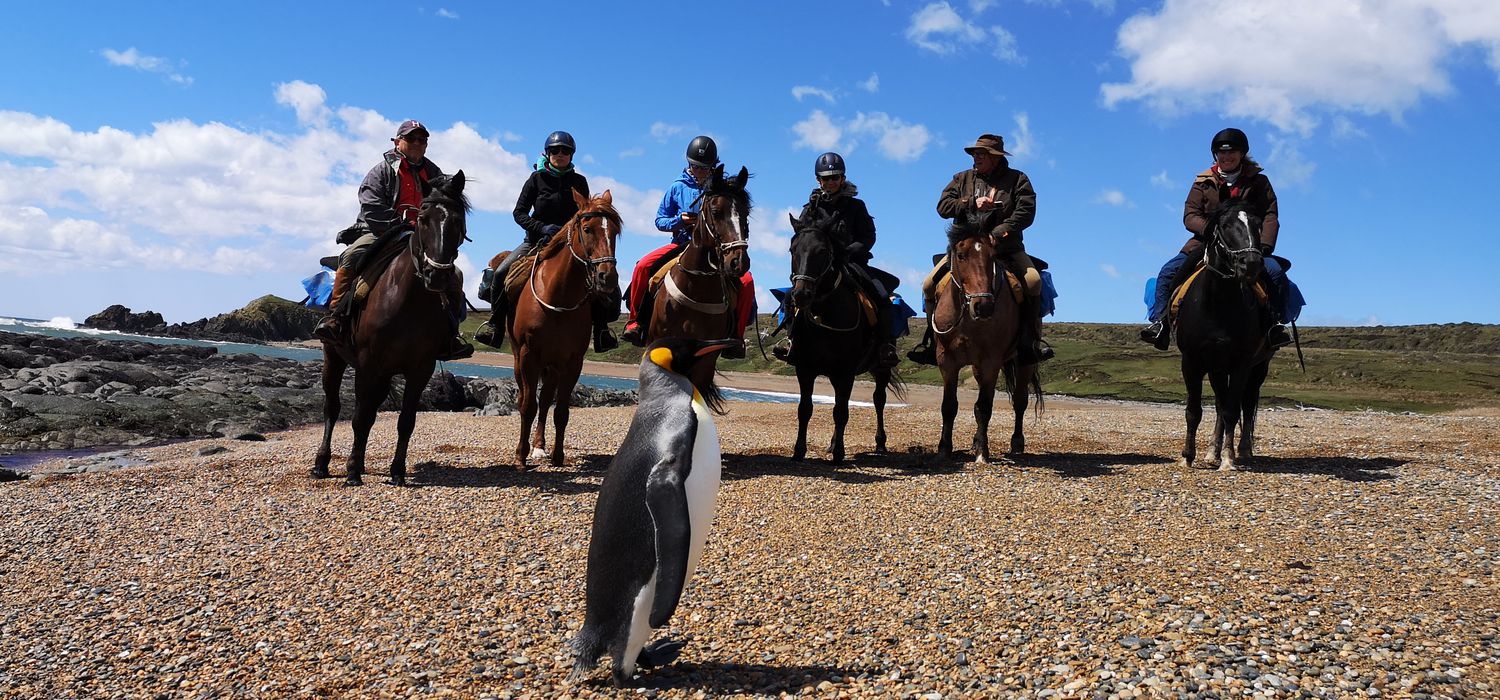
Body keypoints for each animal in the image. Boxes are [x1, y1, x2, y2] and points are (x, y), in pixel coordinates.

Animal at [318, 171, 474, 488]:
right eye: (422, 218)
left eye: (458, 221)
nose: (437, 275)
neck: (406, 300)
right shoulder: (368, 364)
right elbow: (360, 418)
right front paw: (352, 472)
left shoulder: (420, 369)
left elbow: (405, 421)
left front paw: (397, 471)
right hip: (334, 357)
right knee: (333, 408)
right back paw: (322, 464)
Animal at [492, 190, 615, 470]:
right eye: (587, 229)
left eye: (614, 232)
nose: (608, 277)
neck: (559, 296)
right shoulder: (529, 356)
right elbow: (528, 406)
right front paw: (520, 457)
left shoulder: (572, 362)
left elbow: (560, 411)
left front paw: (558, 456)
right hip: (519, 358)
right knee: (527, 399)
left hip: (552, 366)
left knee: (547, 400)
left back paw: (540, 447)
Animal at [786, 208, 900, 464]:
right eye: (793, 250)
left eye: (822, 251)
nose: (801, 295)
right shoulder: (805, 369)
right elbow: (805, 409)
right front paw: (799, 451)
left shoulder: (846, 372)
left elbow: (841, 411)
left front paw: (839, 453)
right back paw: (831, 443)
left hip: (881, 368)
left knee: (878, 400)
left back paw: (880, 443)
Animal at [924, 208, 1044, 464]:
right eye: (960, 255)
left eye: (992, 256)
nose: (984, 306)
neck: (967, 318)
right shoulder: (947, 361)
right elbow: (949, 406)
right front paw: (944, 449)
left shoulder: (991, 362)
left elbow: (984, 407)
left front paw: (982, 452)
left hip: (1024, 361)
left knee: (1020, 401)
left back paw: (1016, 443)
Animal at [1170, 199, 1278, 470]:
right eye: (1227, 225)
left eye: (1258, 224)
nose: (1251, 264)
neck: (1218, 304)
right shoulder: (1192, 361)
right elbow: (1194, 410)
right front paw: (1188, 456)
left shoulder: (1242, 363)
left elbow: (1232, 411)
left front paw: (1228, 459)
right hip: (1217, 368)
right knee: (1220, 404)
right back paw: (1212, 452)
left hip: (1259, 367)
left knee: (1245, 405)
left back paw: (1243, 450)